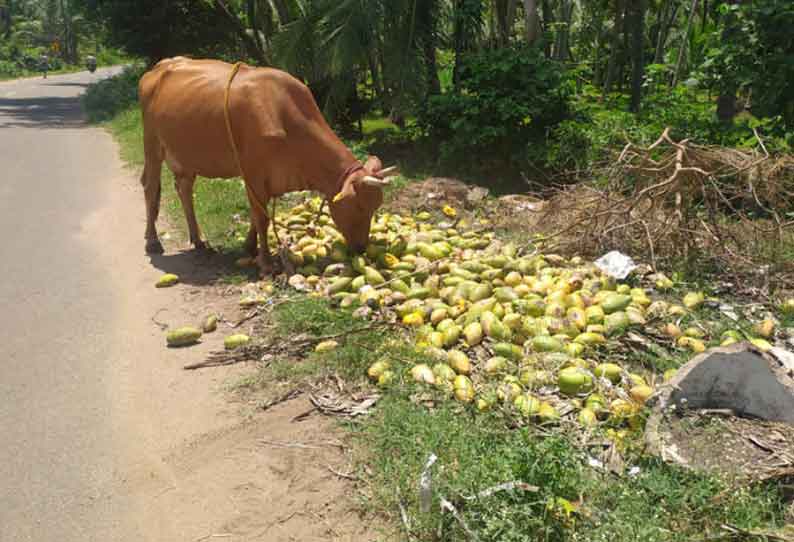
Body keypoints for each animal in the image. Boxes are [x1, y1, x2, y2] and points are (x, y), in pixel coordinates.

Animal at [139, 57, 392, 274]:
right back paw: (153, 241)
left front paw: (250, 247)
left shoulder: (267, 178)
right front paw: (267, 263)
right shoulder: (253, 173)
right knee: (150, 187)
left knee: (184, 190)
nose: (360, 247)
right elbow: (261, 217)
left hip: (185, 157)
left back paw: (198, 240)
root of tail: (161, 67)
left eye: (376, 207)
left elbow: (256, 213)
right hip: (152, 145)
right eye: (359, 206)